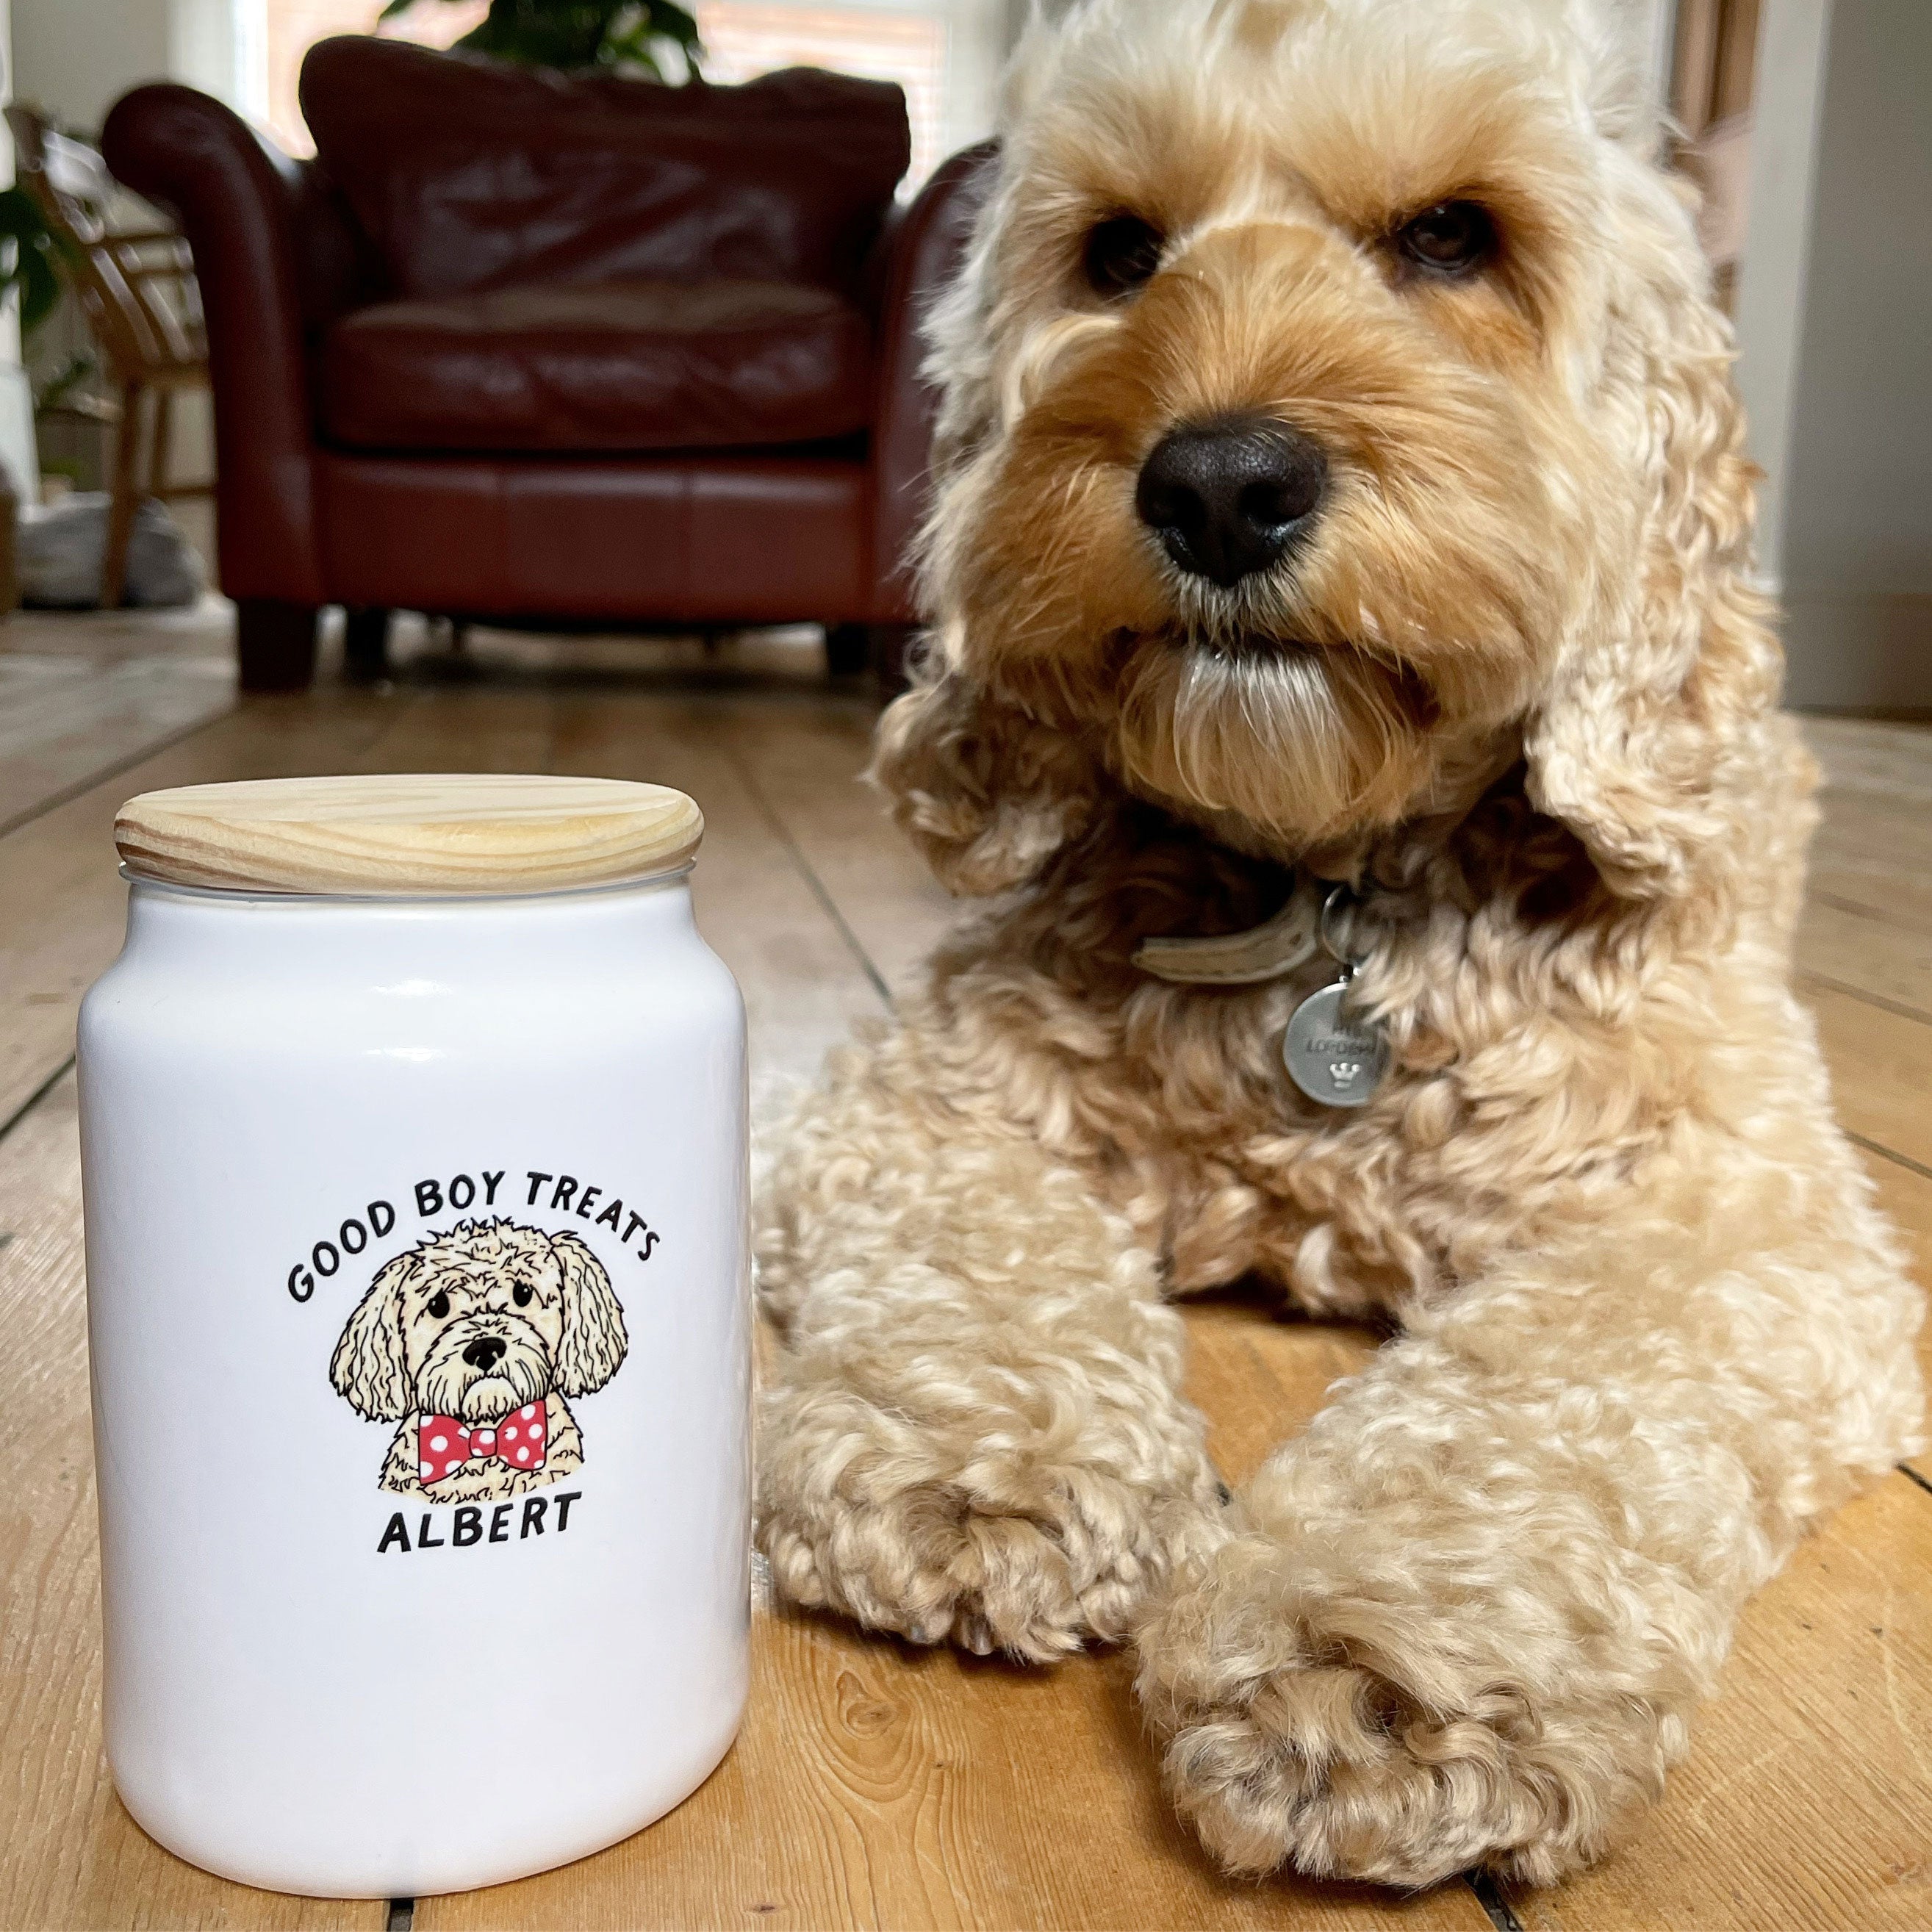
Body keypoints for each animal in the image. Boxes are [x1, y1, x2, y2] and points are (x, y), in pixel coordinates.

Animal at [745, 0, 1924, 1893]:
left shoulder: (1739, 1213)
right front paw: (978, 1457)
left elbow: (1541, 1396)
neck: (1333, 890)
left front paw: (1373, 1656)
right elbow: (980, 1255)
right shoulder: (907, 1100)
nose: (1220, 482)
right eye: (1119, 254)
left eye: (1453, 236)